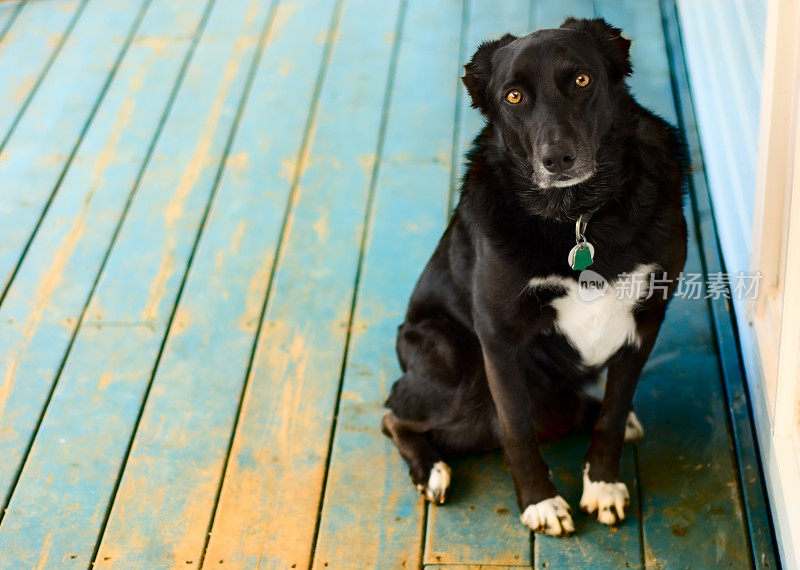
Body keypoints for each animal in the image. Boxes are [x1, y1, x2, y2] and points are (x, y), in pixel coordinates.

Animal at [382, 17, 688, 532]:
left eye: (582, 80)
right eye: (514, 96)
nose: (557, 159)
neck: (580, 217)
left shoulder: (646, 320)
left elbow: (614, 409)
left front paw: (602, 482)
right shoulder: (498, 336)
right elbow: (517, 428)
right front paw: (540, 502)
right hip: (459, 369)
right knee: (392, 414)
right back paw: (432, 471)